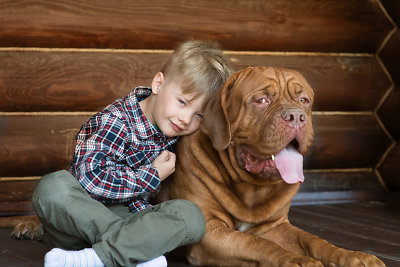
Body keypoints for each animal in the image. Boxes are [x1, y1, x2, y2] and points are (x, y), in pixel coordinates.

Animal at [162, 67, 384, 267]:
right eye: (261, 101)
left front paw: (352, 256)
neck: (252, 187)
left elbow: (312, 239)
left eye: (304, 101)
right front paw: (297, 260)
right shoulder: (209, 229)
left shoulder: (275, 227)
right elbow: (256, 243)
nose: (297, 117)